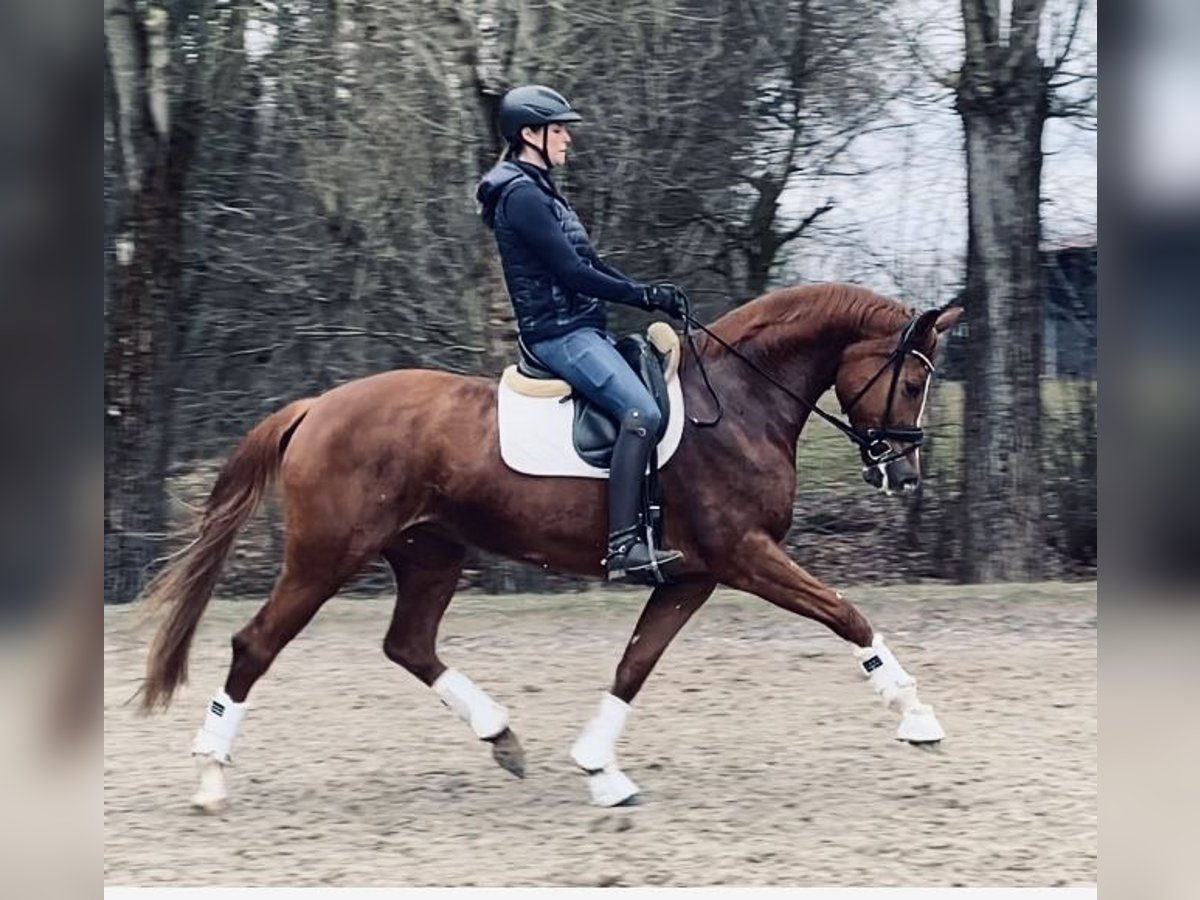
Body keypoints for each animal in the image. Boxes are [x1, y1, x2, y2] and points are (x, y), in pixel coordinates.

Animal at [138, 282, 964, 811]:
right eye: (912, 381)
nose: (904, 473)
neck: (736, 404)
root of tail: (316, 408)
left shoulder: (692, 576)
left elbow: (635, 664)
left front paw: (601, 770)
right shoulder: (745, 554)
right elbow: (845, 614)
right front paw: (918, 718)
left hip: (429, 554)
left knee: (409, 644)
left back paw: (502, 738)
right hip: (324, 559)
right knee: (255, 646)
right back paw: (210, 778)